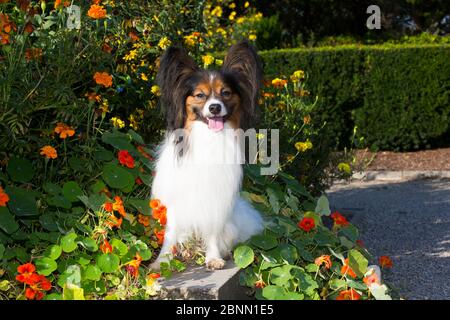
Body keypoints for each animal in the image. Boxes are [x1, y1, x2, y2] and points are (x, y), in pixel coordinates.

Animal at [150, 40, 264, 270]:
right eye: (200, 95)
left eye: (225, 93)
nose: (214, 107)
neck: (209, 137)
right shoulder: (177, 201)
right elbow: (170, 234)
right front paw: (162, 261)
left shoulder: (215, 198)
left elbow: (212, 231)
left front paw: (213, 258)